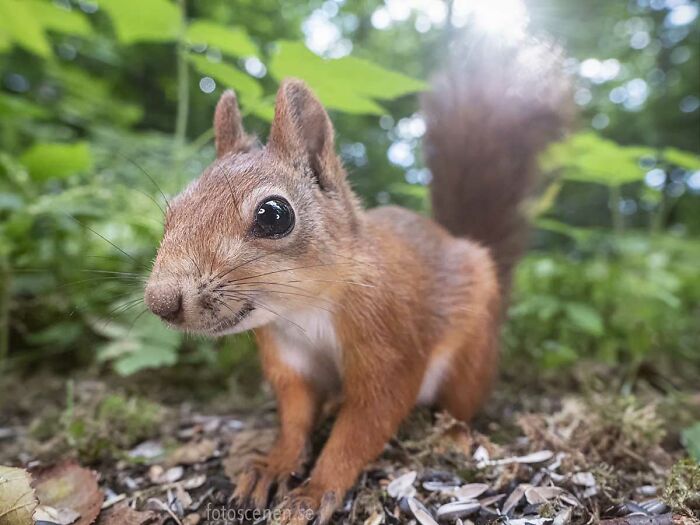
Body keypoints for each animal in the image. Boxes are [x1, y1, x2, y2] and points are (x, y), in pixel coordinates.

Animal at [144, 38, 571, 524]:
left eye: (274, 215)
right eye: (173, 210)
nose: (161, 301)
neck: (305, 308)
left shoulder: (388, 340)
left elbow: (365, 424)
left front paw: (315, 491)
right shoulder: (287, 357)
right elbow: (294, 417)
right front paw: (274, 466)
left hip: (472, 353)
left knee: (461, 403)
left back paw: (456, 435)